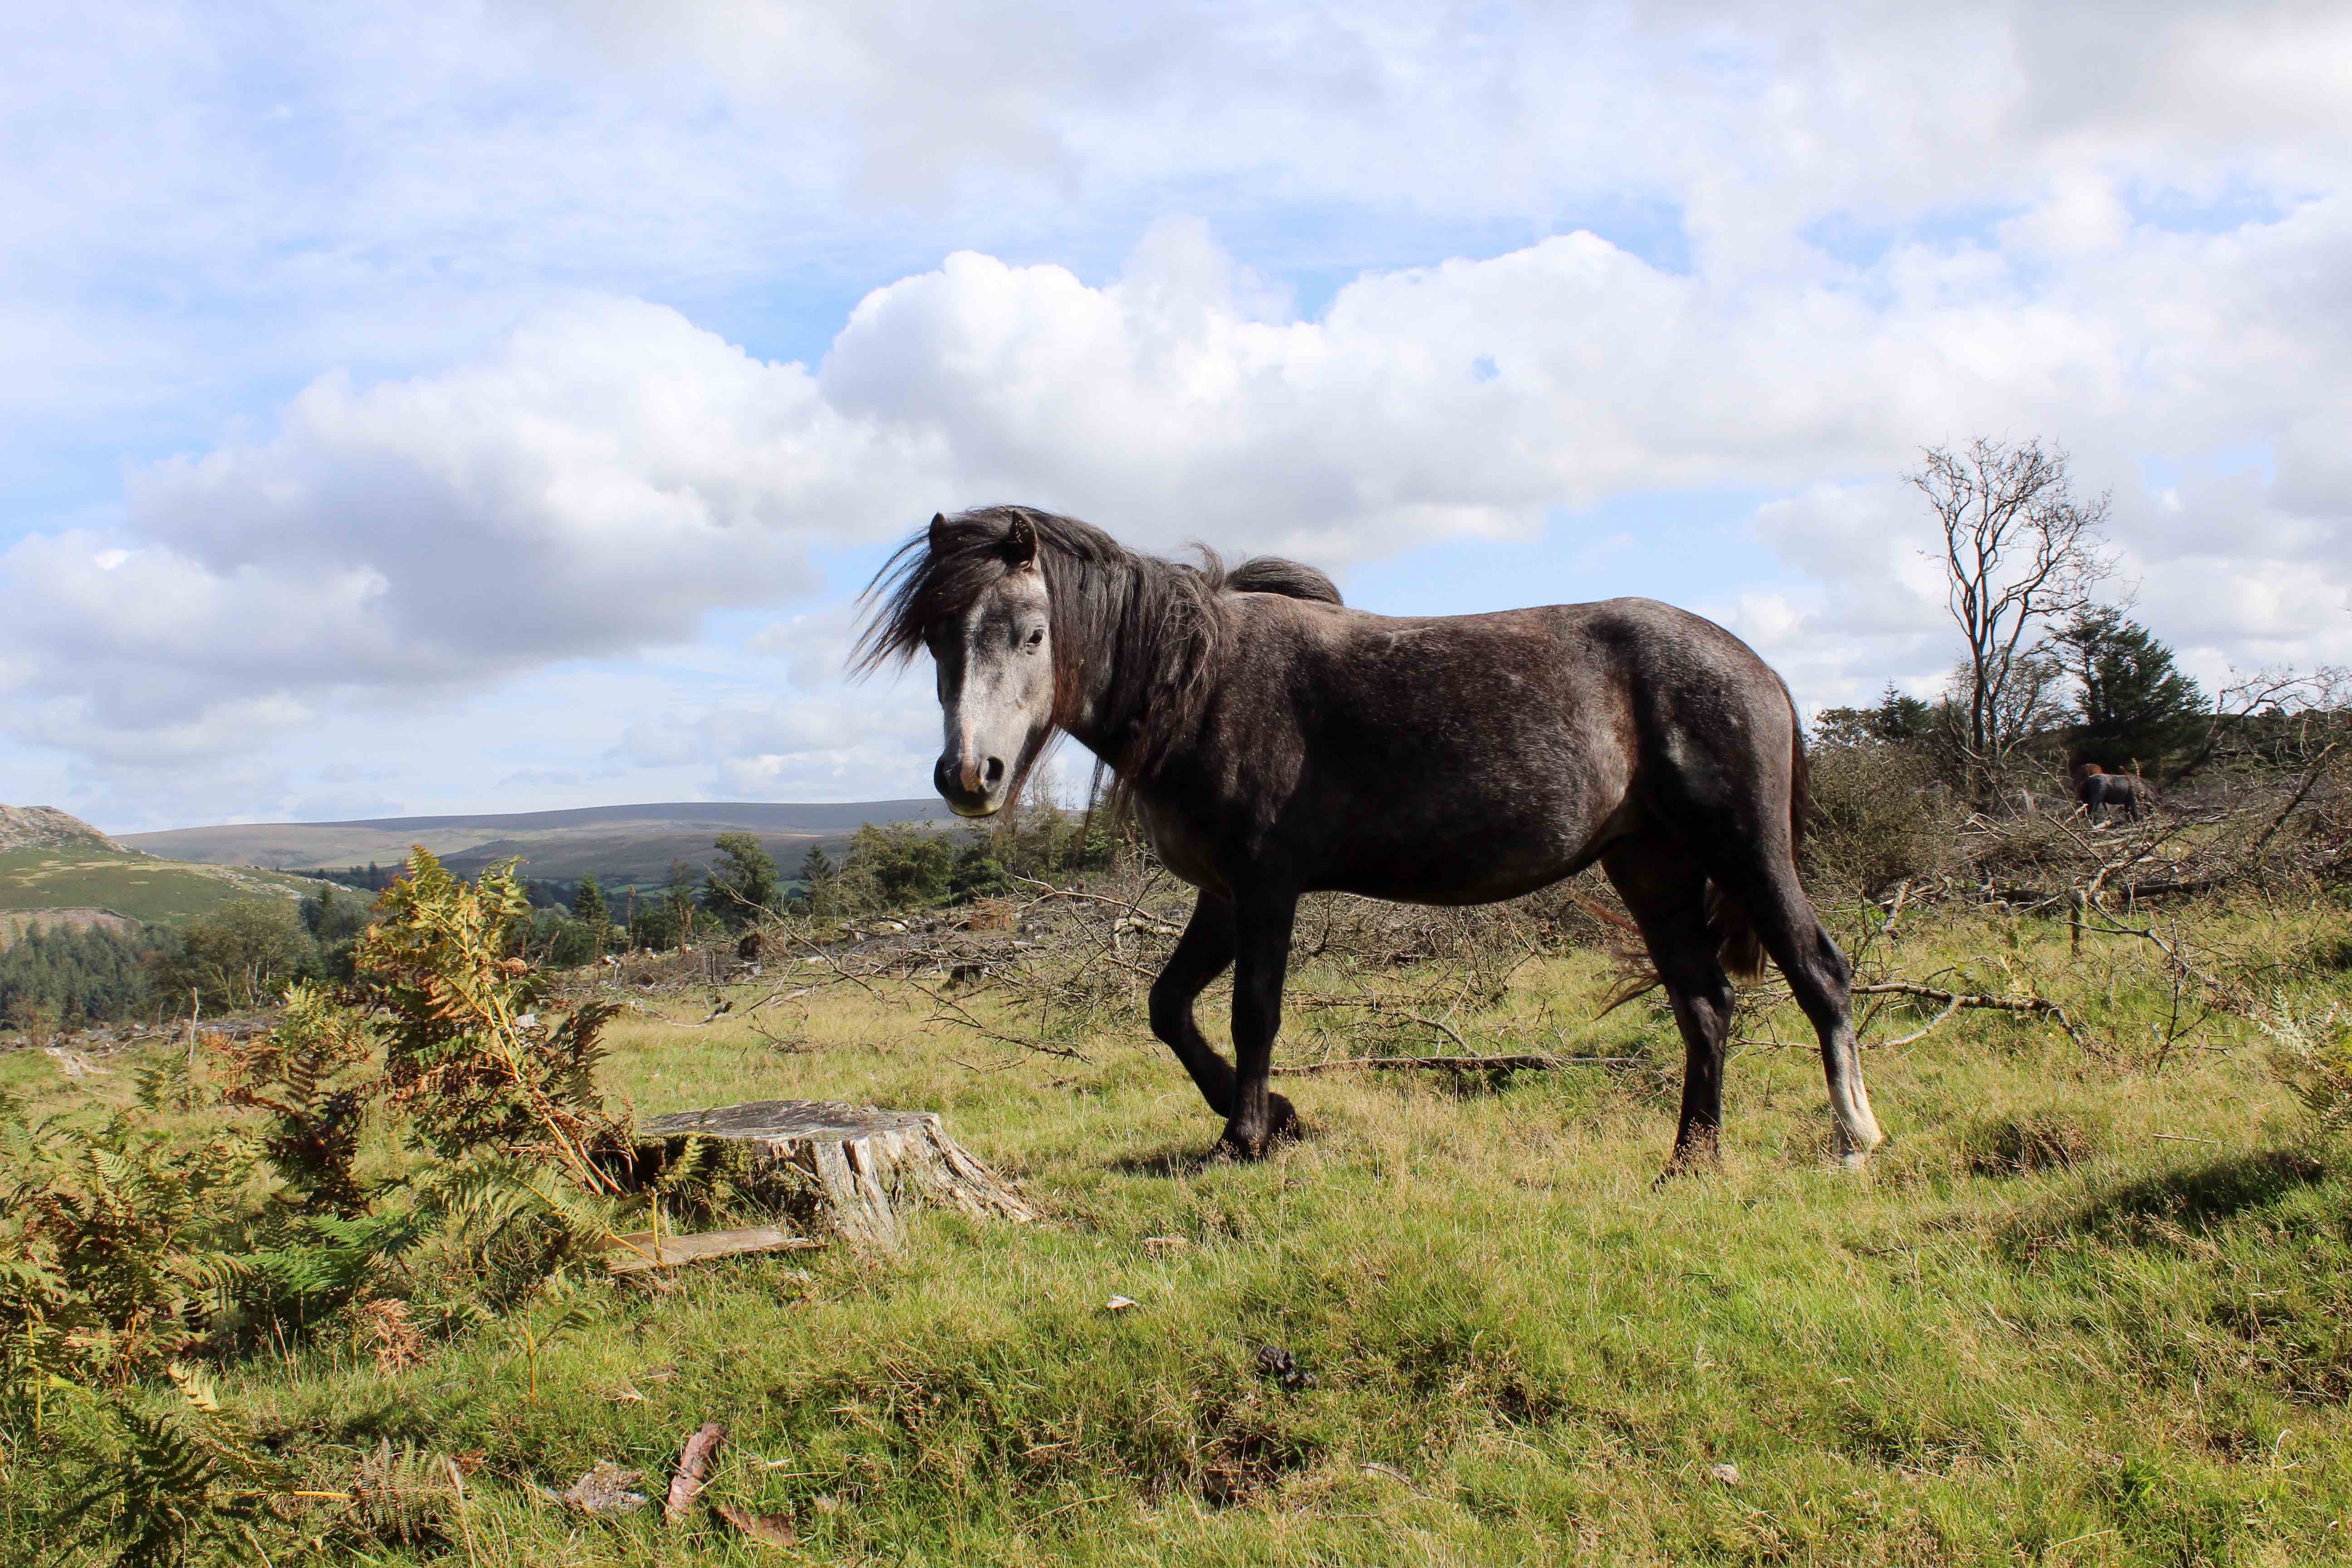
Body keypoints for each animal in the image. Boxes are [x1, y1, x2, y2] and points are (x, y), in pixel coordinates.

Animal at [854, 507, 1885, 1173]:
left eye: (1030, 633)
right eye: (938, 639)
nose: (969, 776)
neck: (1205, 685)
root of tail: (1754, 666)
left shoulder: (1265, 887)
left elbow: (1253, 1012)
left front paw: (1245, 1137)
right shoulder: (1221, 894)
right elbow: (1167, 1008)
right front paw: (1275, 1115)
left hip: (1742, 848)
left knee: (1817, 972)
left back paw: (1851, 1139)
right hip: (1650, 865)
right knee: (1704, 1005)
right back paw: (1690, 1159)